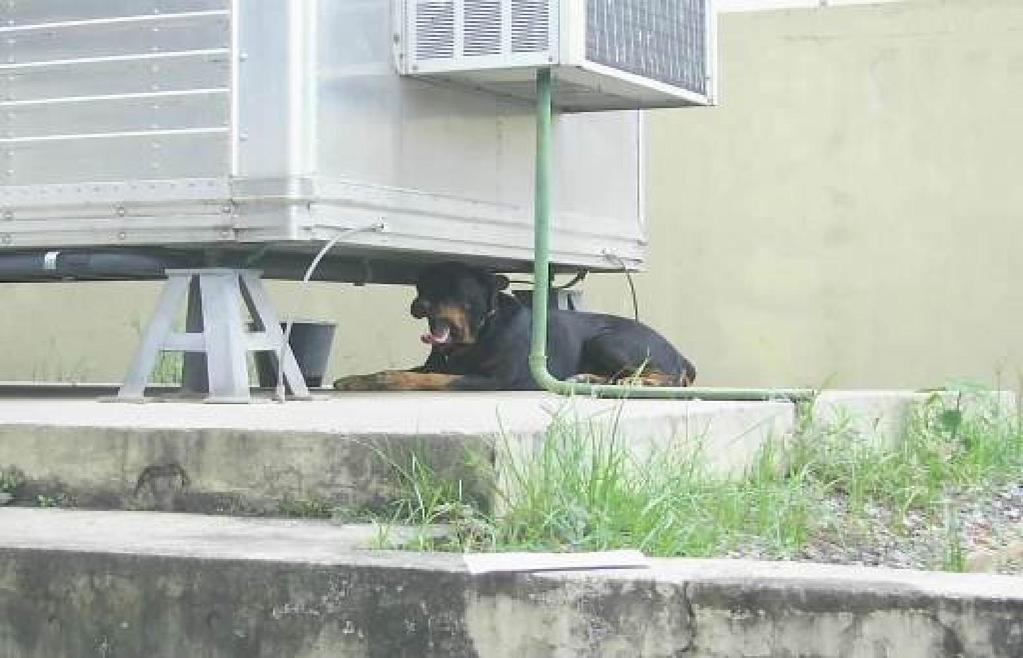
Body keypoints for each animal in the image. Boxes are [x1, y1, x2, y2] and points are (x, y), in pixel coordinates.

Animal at [333, 261, 695, 390]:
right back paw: (588, 378)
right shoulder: (438, 363)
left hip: (607, 340)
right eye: (422, 286)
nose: (418, 305)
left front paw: (388, 380)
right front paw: (357, 379)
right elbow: (412, 370)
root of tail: (681, 355)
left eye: (453, 289)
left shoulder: (496, 379)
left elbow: (427, 379)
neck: (479, 333)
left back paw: (638, 382)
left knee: (669, 378)